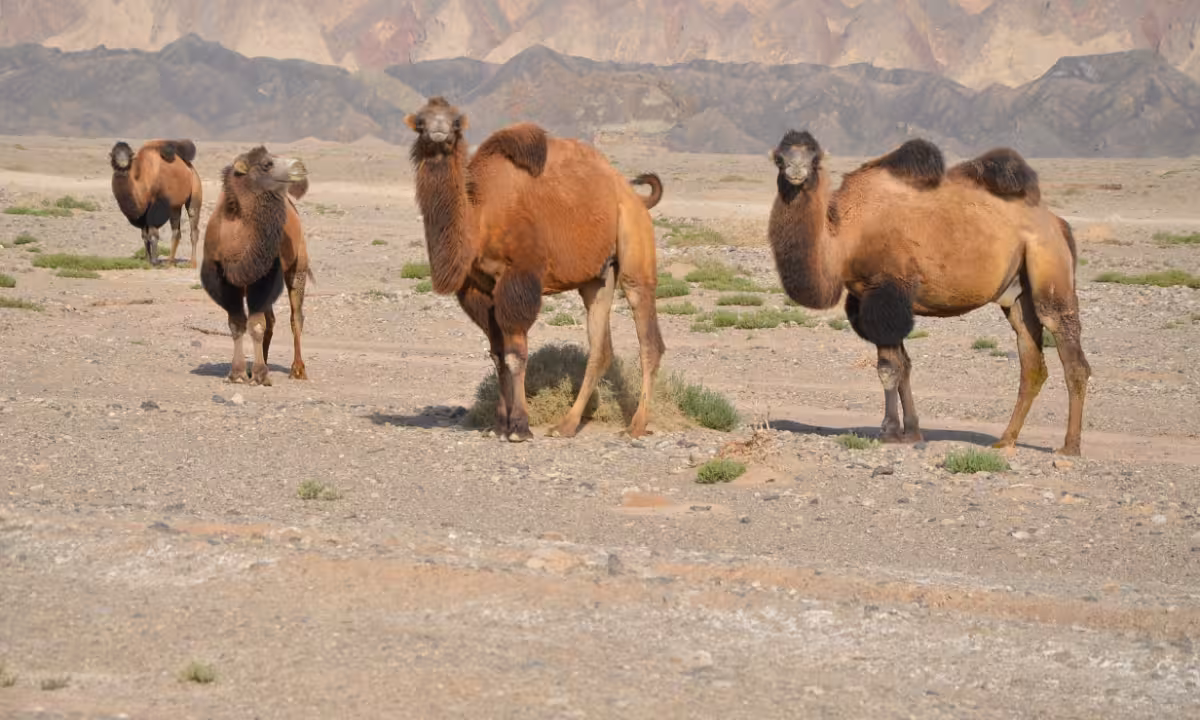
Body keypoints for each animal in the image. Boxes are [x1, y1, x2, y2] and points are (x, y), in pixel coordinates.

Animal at [200, 146, 311, 386]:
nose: (300, 166)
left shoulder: (263, 277)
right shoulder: (224, 280)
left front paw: (260, 375)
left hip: (297, 264)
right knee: (270, 320)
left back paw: (297, 369)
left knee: (295, 316)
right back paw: (263, 363)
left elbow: (256, 324)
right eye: (266, 164)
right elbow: (237, 324)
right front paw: (238, 373)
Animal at [405, 96, 666, 442]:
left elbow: (515, 355)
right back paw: (567, 425)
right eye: (420, 121)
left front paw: (519, 427)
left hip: (635, 244)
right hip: (597, 277)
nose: (438, 131)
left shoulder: (518, 280)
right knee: (601, 347)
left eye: (456, 122)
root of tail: (632, 194)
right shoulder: (477, 290)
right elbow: (497, 355)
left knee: (648, 337)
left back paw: (635, 425)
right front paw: (499, 425)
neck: (479, 217)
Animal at [767, 130, 1091, 455]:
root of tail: (1056, 223)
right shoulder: (868, 302)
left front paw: (889, 431)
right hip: (1016, 291)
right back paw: (1005, 440)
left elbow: (888, 368)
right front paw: (911, 431)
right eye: (779, 158)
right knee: (1031, 359)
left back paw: (1069, 447)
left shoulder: (886, 293)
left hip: (1048, 261)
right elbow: (904, 366)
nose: (796, 171)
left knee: (1067, 345)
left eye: (815, 158)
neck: (846, 237)